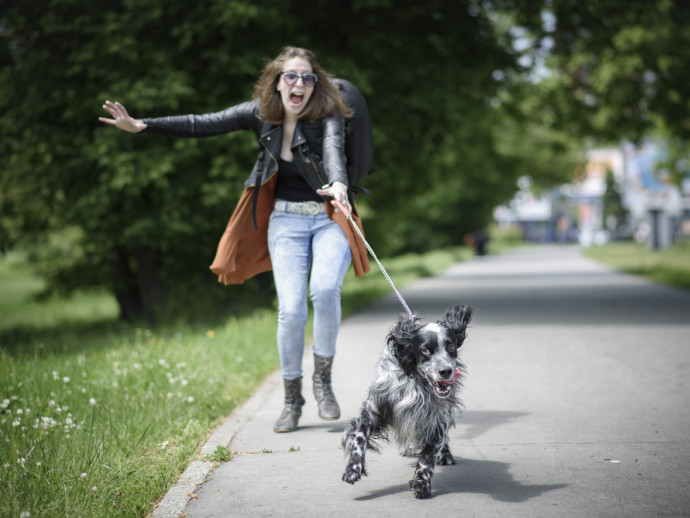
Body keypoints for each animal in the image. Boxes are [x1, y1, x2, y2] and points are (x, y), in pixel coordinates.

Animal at [340, 304, 470, 500]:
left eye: (452, 346)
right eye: (425, 350)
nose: (446, 371)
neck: (416, 381)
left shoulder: (435, 418)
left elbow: (428, 455)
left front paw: (422, 482)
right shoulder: (374, 407)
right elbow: (359, 439)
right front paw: (353, 468)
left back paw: (445, 454)